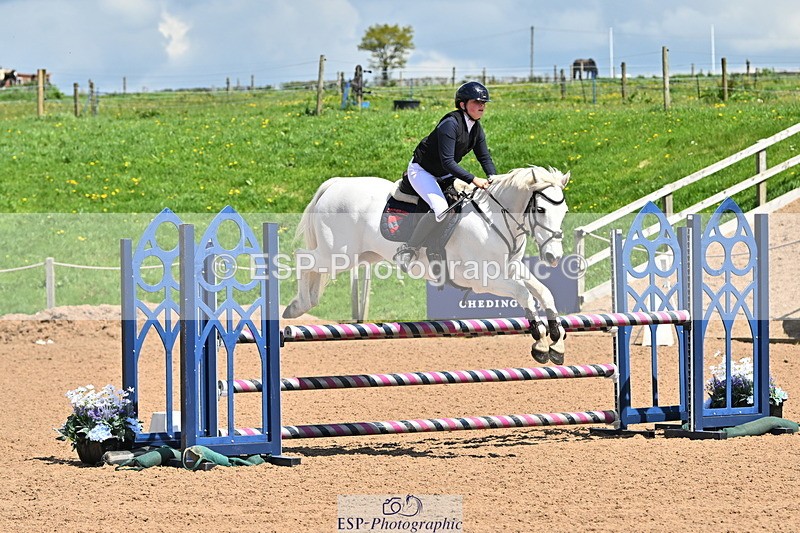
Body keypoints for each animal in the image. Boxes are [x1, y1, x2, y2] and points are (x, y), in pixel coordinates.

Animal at [282, 166, 571, 364]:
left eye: (565, 211)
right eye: (541, 210)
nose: (553, 257)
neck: (494, 220)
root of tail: (335, 184)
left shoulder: (512, 269)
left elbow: (542, 292)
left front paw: (556, 341)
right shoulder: (482, 279)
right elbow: (524, 293)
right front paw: (540, 343)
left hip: (361, 256)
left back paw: (302, 303)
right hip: (338, 255)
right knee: (301, 258)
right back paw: (297, 306)